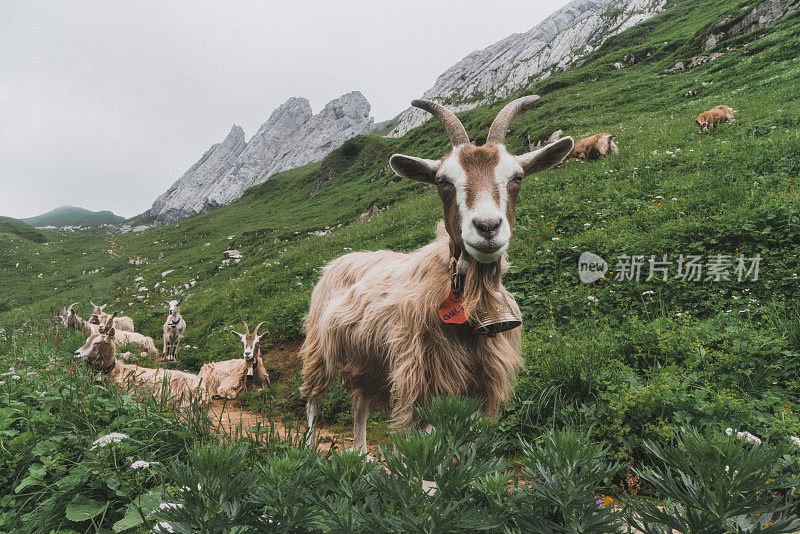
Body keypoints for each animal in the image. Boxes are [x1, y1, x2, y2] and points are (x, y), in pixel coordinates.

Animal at [296, 96, 572, 452]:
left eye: (518, 177)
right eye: (443, 181)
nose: (487, 227)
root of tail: (337, 262)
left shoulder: (480, 383)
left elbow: (467, 447)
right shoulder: (421, 377)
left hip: (365, 359)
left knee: (359, 403)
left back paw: (360, 453)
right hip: (319, 347)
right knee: (314, 400)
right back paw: (308, 449)